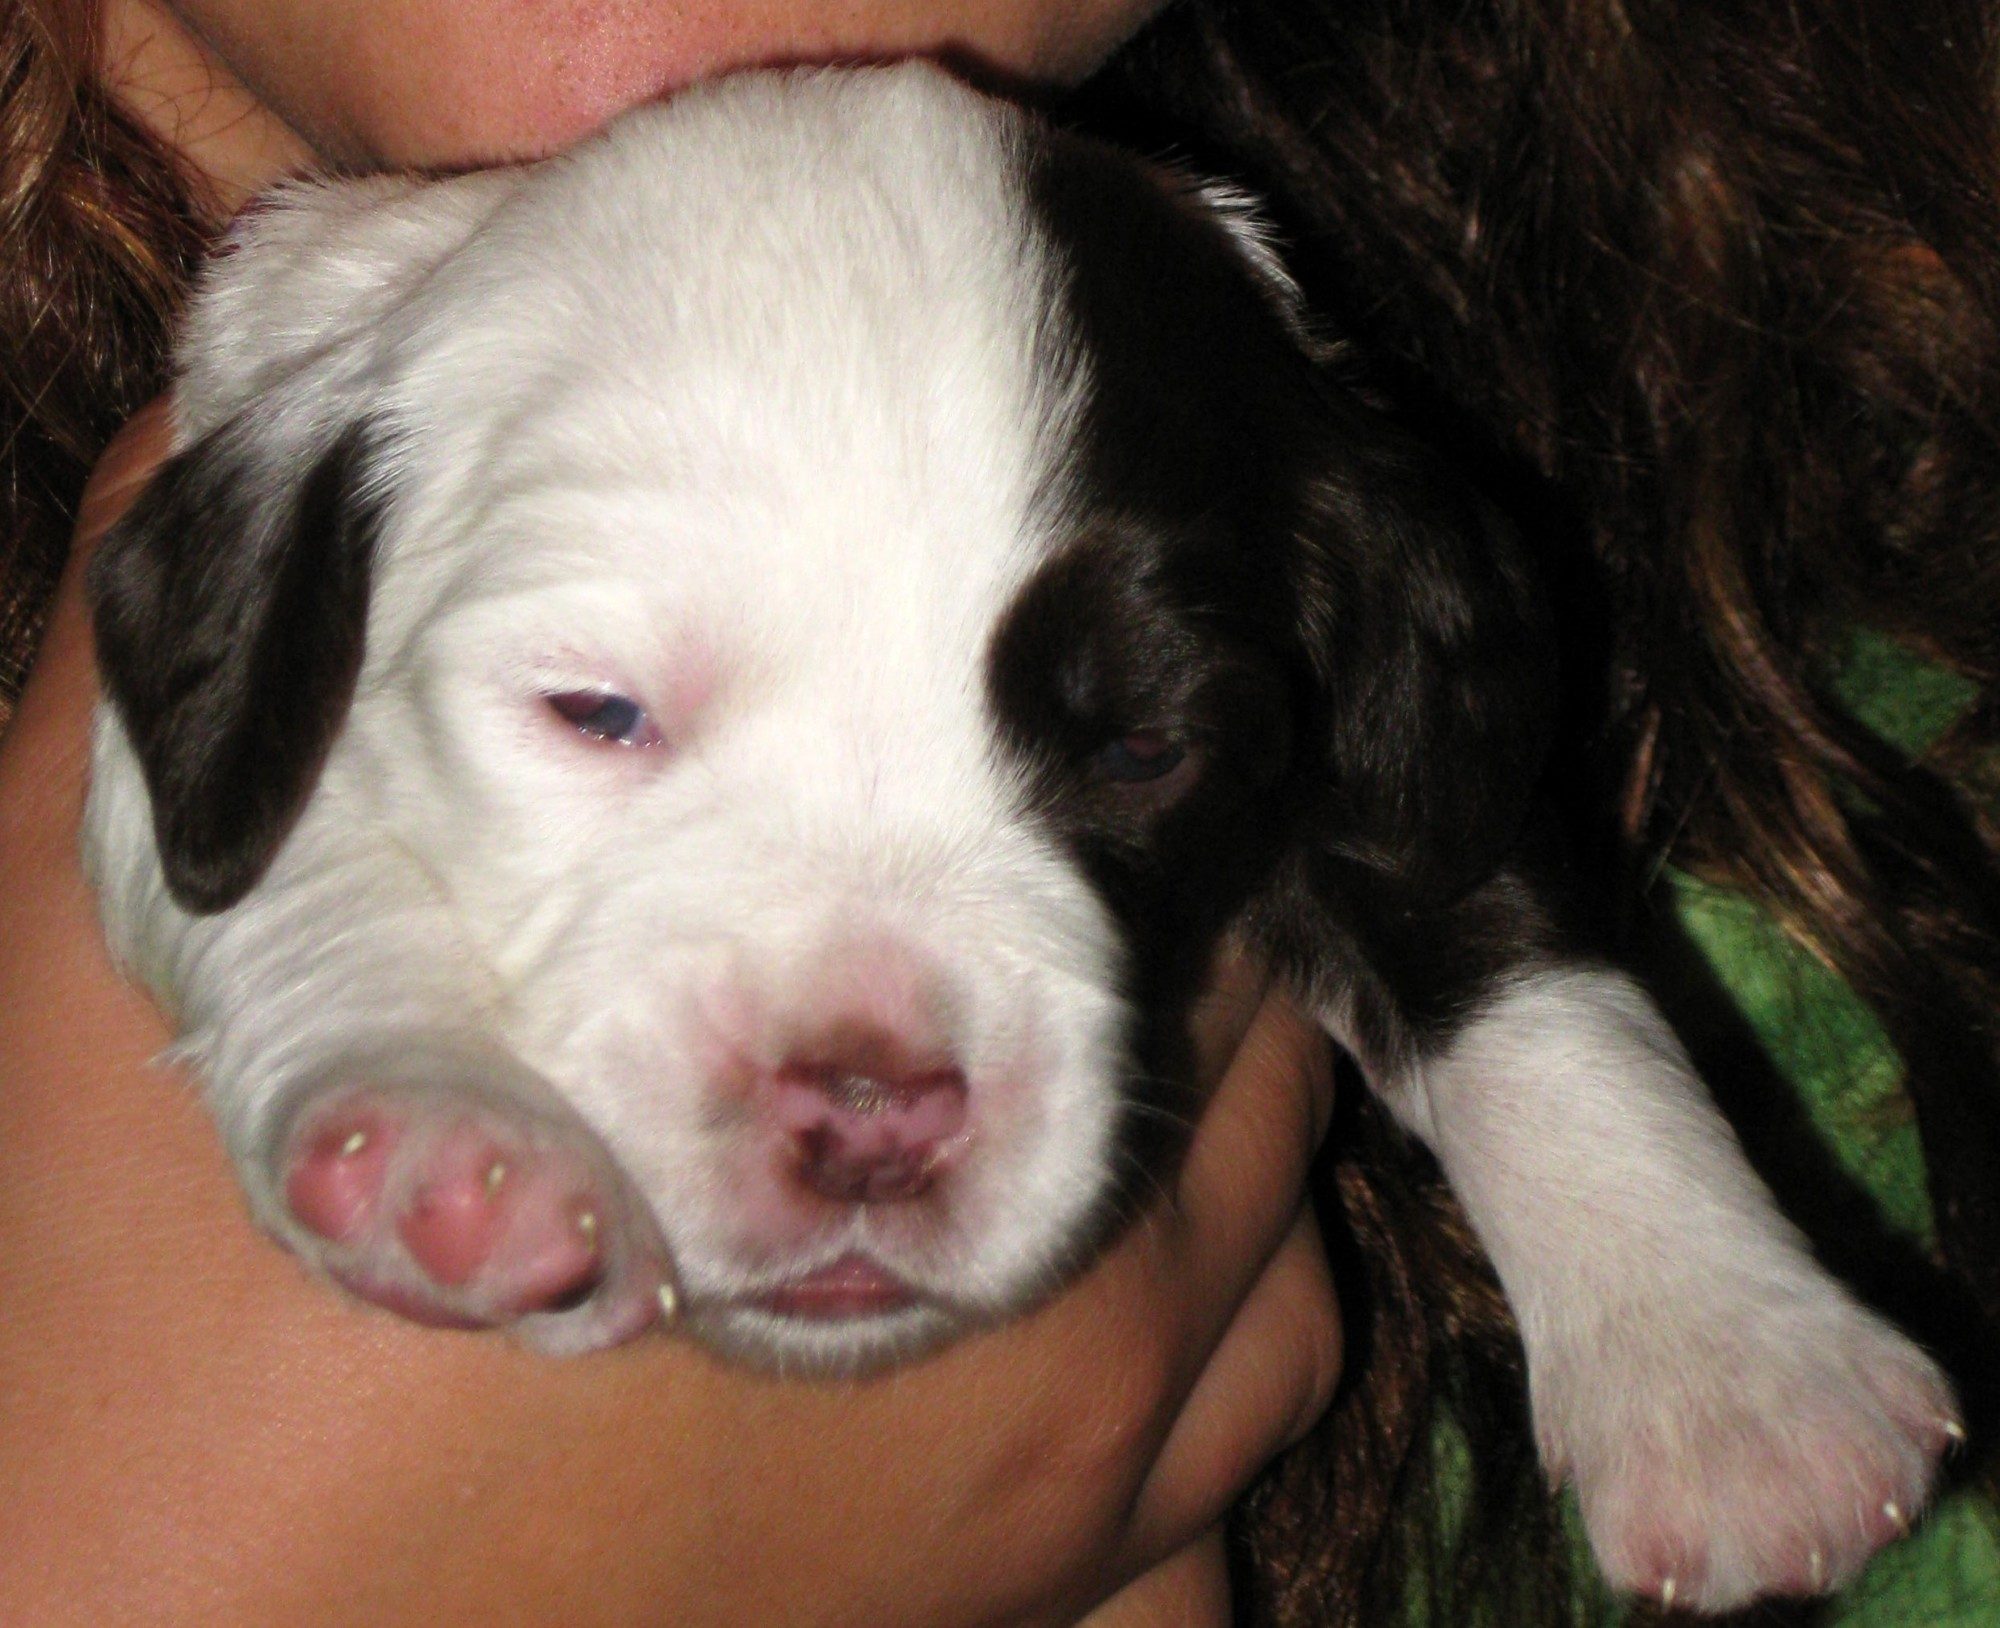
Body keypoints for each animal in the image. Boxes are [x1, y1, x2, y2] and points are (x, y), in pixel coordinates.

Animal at [82, 64, 1958, 1612]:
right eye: (594, 711)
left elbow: (1502, 949)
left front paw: (1729, 1371)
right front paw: (436, 1132)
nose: (866, 1102)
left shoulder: (1376, 723)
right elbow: (281, 865)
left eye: (1140, 744)